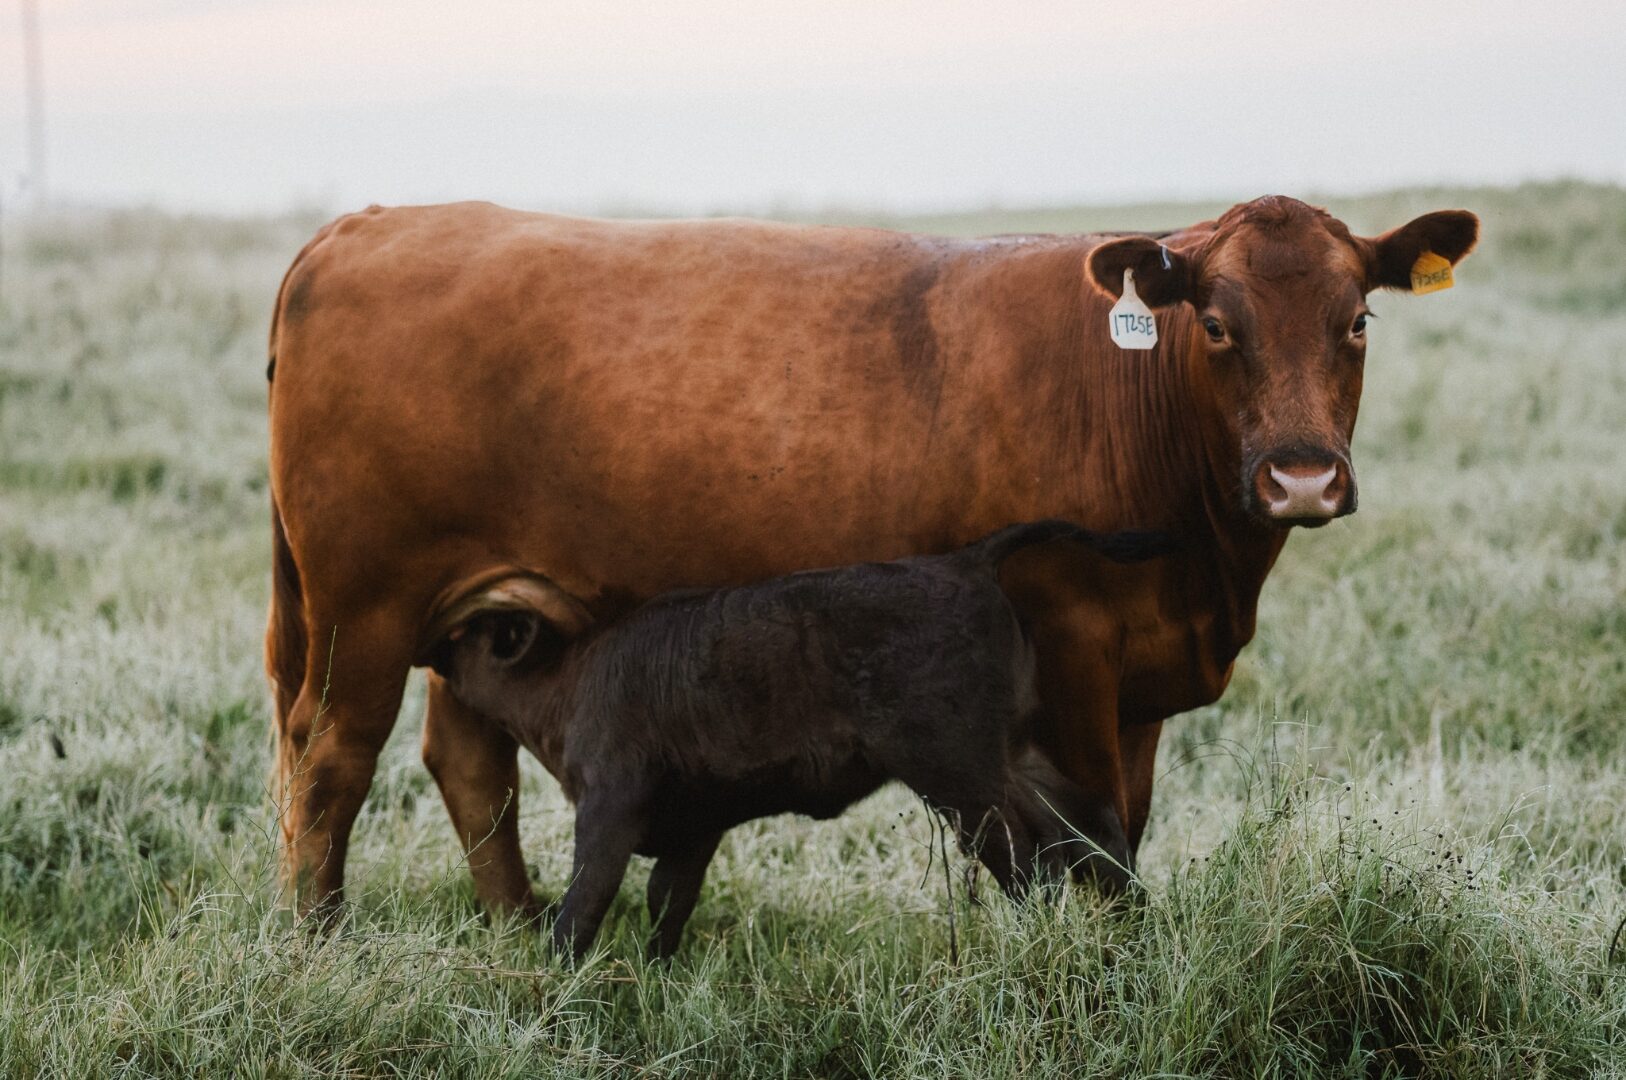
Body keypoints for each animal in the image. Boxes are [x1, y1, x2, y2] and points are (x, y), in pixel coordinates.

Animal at [430, 520, 1174, 959]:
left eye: (471, 635)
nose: (432, 641)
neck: (577, 673)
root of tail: (966, 564)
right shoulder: (695, 828)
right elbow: (667, 906)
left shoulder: (609, 809)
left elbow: (584, 904)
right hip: (1014, 756)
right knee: (1087, 822)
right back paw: (1136, 926)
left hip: (961, 775)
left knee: (1026, 854)